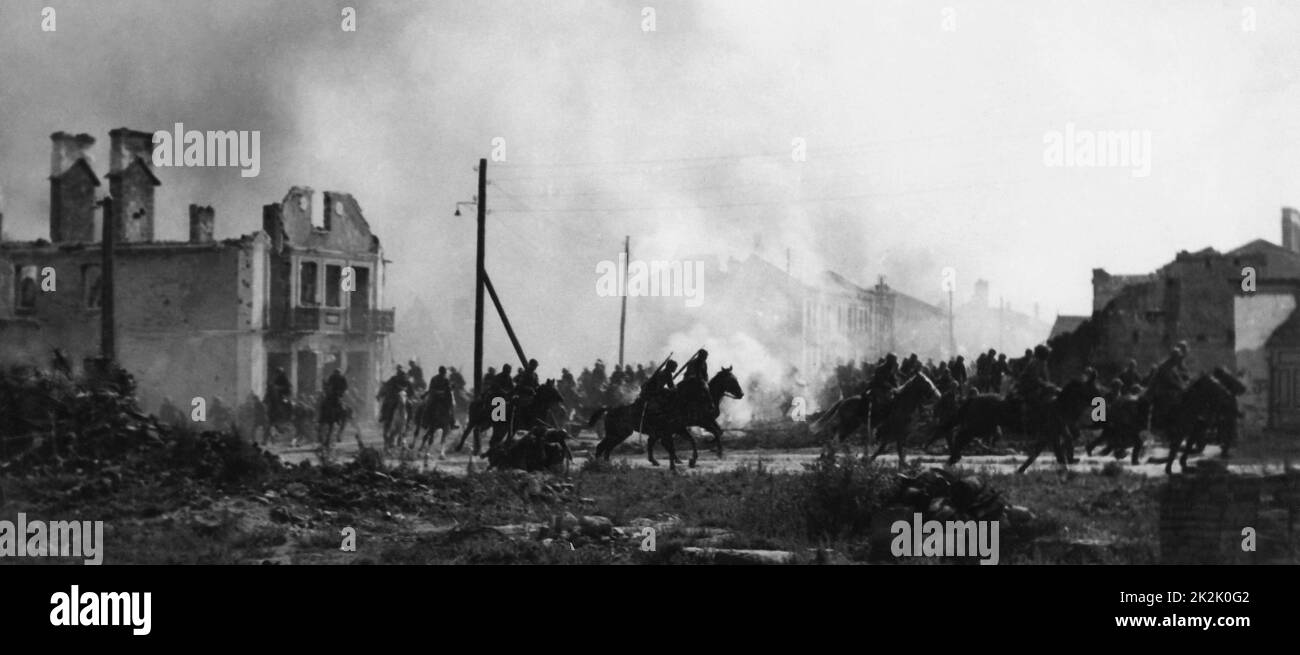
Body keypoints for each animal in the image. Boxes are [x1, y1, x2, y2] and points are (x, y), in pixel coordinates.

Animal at [590, 369, 743, 470]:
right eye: (732, 380)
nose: (741, 394)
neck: (678, 402)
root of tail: (609, 409)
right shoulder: (698, 422)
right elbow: (712, 433)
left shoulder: (681, 428)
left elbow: (710, 434)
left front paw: (693, 459)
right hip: (617, 433)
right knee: (602, 447)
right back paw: (599, 465)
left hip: (621, 434)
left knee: (608, 448)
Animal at [806, 374, 941, 465]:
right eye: (927, 382)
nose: (938, 395)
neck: (901, 403)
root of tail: (844, 401)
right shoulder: (893, 432)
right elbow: (886, 448)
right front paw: (868, 460)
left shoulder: (898, 433)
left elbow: (895, 449)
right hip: (848, 425)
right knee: (835, 439)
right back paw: (830, 458)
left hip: (850, 426)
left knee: (834, 439)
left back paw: (828, 458)